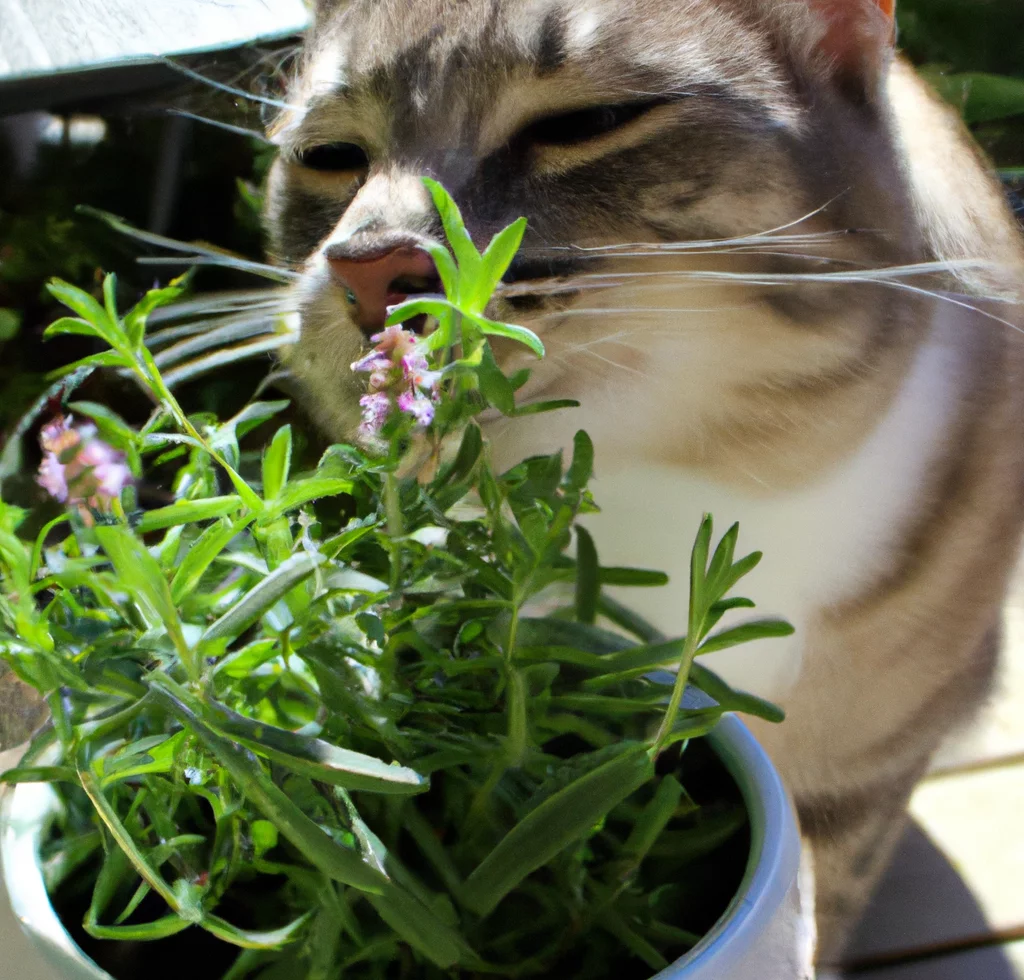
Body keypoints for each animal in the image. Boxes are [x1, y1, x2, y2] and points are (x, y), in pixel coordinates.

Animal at [260, 0, 1024, 962]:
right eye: (329, 153)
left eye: (586, 122)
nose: (367, 266)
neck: (668, 477)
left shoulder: (867, 769)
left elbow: (828, 897)